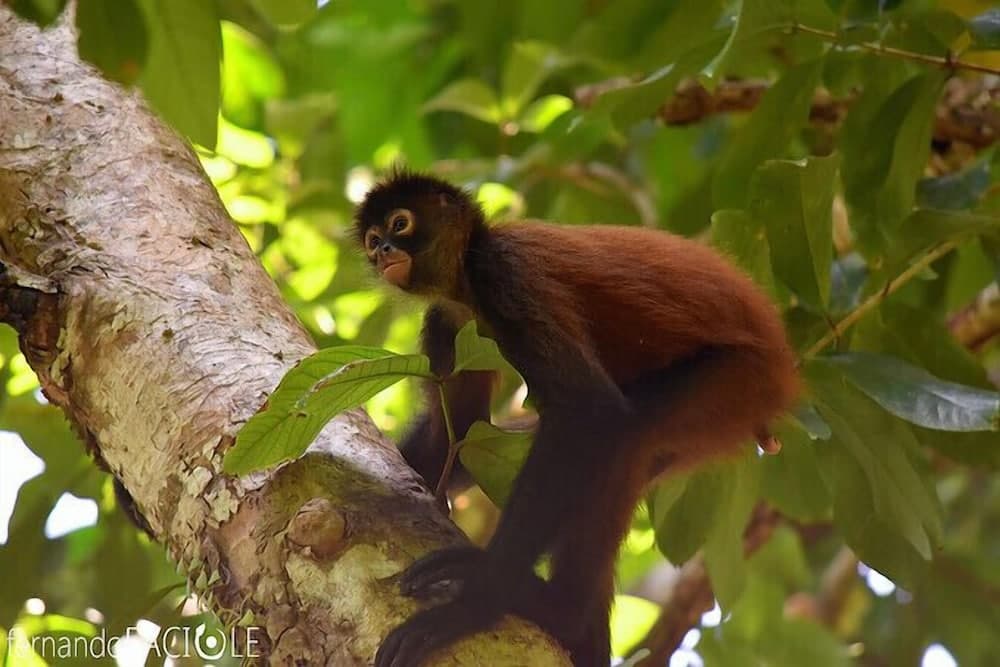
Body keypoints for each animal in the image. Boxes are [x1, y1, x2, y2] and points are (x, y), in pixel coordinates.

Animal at [355, 170, 799, 667]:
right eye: (372, 240)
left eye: (400, 223)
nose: (383, 251)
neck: (467, 271)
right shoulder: (448, 320)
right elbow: (459, 437)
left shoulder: (504, 273)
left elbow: (589, 411)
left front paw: (476, 604)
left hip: (737, 383)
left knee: (625, 431)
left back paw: (558, 611)